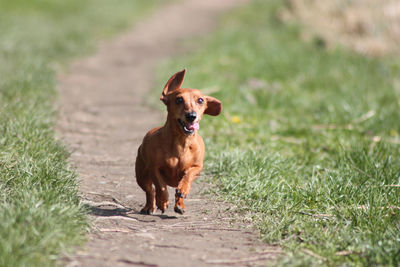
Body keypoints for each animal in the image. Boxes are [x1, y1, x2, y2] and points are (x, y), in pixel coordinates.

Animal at [134, 69, 222, 216]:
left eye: (200, 100)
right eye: (179, 99)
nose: (191, 116)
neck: (181, 142)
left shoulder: (197, 167)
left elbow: (188, 176)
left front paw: (183, 191)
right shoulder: (154, 168)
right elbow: (161, 186)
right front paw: (163, 201)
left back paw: (179, 204)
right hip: (141, 175)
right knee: (150, 190)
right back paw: (150, 206)